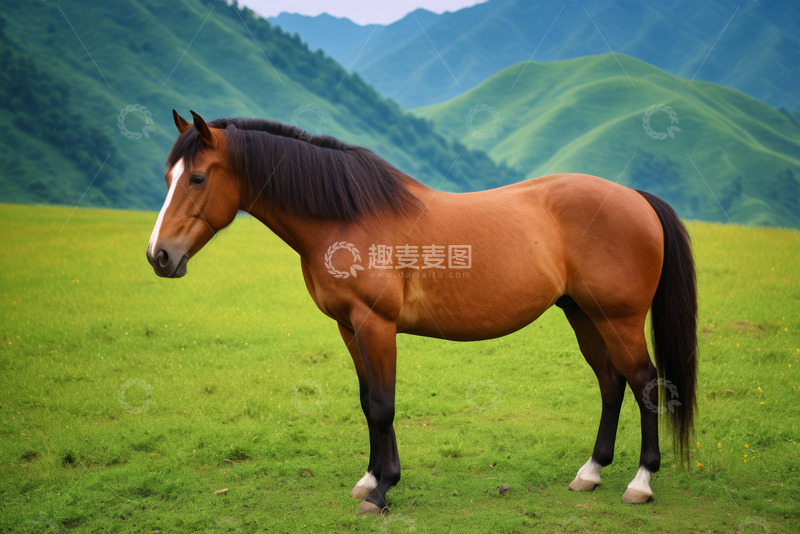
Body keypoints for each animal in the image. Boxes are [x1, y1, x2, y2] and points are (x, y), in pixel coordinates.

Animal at [147, 110, 697, 515]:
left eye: (197, 178)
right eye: (168, 176)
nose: (159, 256)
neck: (346, 216)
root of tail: (635, 198)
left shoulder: (375, 325)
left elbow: (382, 405)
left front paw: (381, 492)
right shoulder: (349, 328)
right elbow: (367, 401)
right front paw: (369, 478)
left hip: (619, 318)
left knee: (644, 381)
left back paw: (640, 482)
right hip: (584, 314)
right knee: (611, 381)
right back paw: (591, 472)